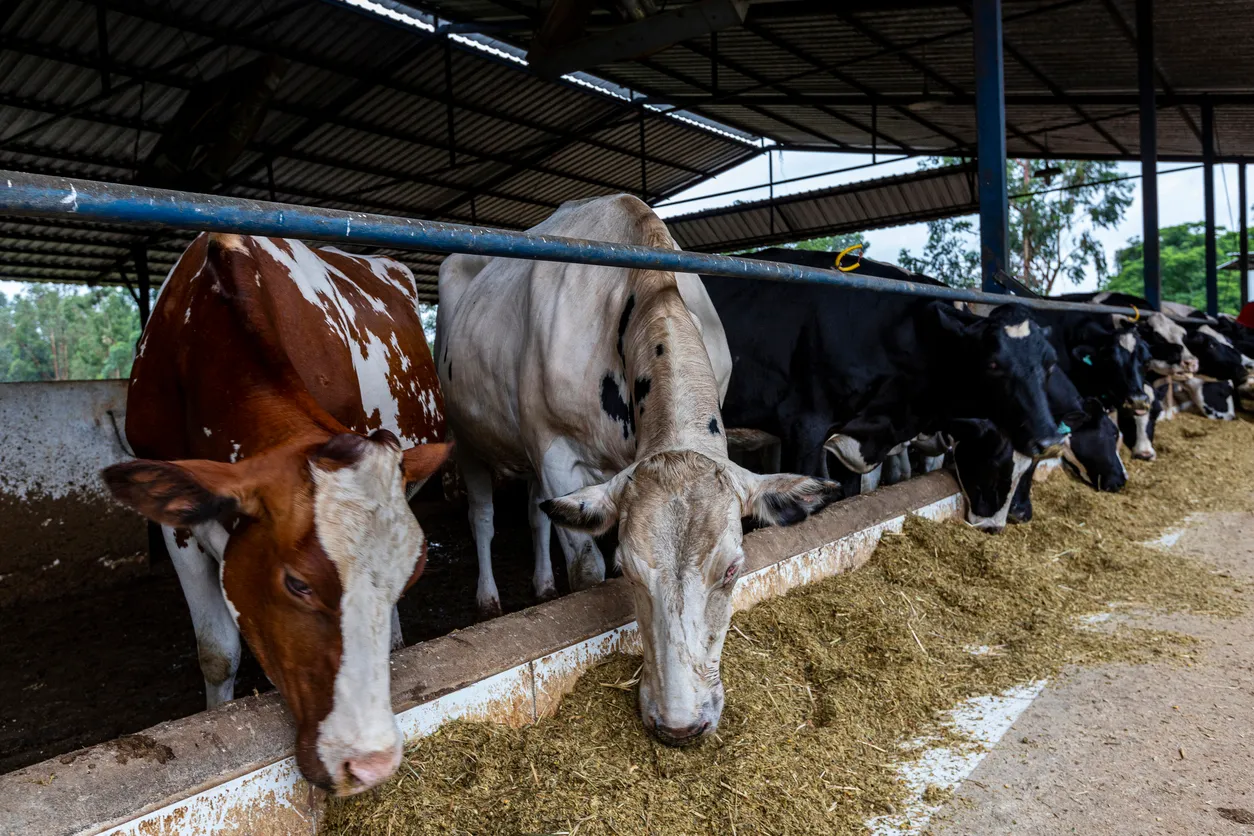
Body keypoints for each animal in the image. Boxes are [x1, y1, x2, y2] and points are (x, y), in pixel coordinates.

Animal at [435, 195, 839, 747]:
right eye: (628, 568)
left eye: (733, 569)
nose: (680, 726)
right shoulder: (557, 453)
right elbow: (586, 567)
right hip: (469, 439)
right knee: (483, 518)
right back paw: (489, 598)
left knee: (537, 515)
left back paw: (542, 585)